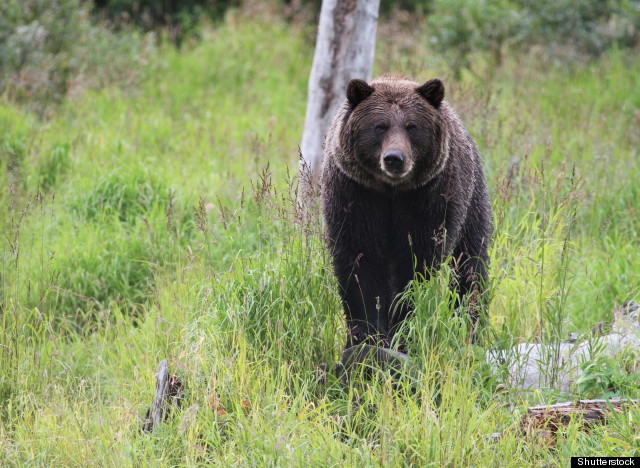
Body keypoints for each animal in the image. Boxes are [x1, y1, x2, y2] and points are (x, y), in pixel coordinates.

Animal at [322, 75, 492, 350]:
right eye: (380, 126)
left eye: (411, 126)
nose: (394, 158)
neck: (391, 191)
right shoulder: (356, 195)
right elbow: (359, 261)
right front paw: (366, 335)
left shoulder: (428, 198)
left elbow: (416, 263)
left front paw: (403, 333)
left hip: (472, 200)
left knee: (470, 266)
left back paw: (470, 331)